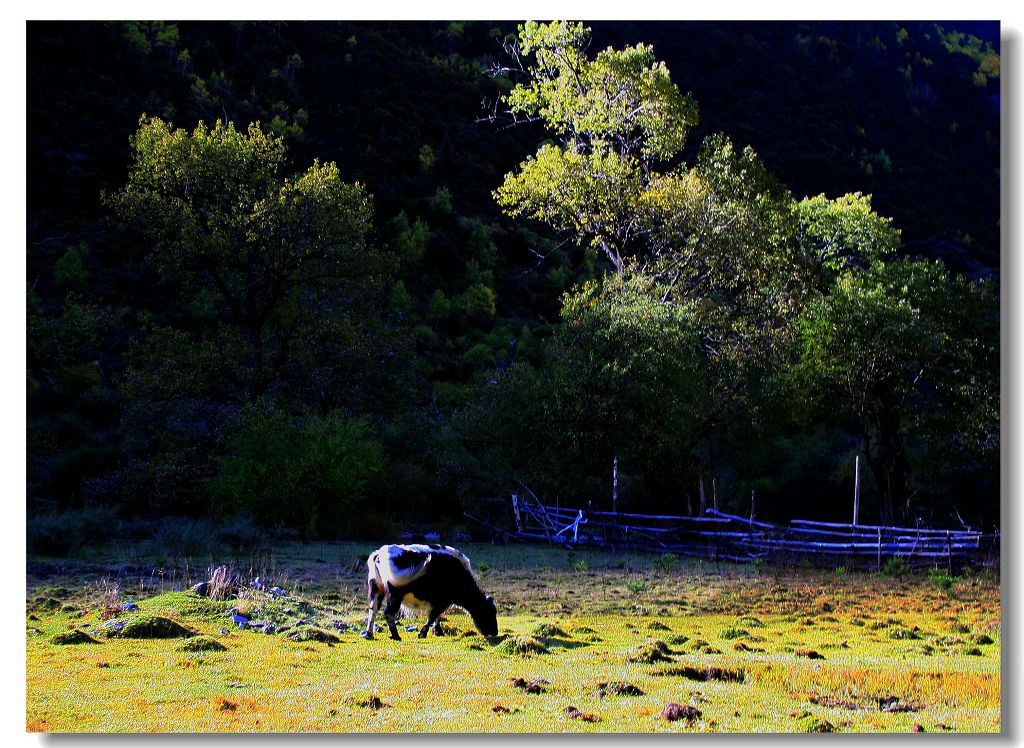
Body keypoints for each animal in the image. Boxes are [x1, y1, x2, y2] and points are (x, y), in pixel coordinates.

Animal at [362, 541, 497, 639]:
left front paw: (437, 631)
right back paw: (395, 636)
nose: (495, 632)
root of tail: (379, 554)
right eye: (488, 612)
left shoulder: (438, 601)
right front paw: (423, 633)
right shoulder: (442, 601)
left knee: (373, 609)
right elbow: (433, 616)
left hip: (376, 589)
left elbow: (437, 616)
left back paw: (369, 634)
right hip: (394, 594)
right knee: (388, 612)